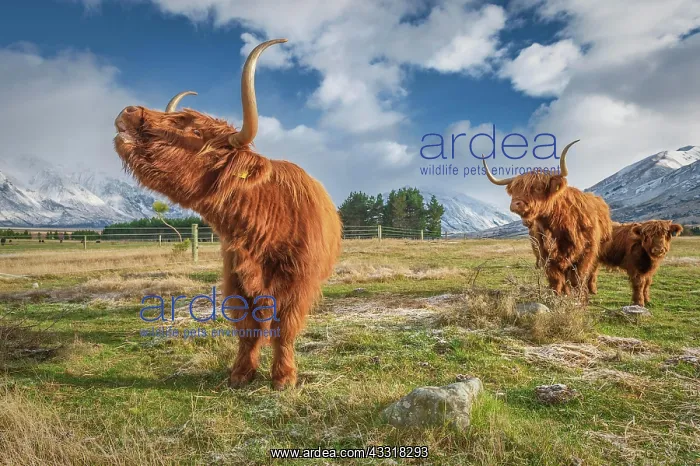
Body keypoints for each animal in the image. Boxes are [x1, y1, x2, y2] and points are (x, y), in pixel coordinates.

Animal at [113, 39, 342, 390]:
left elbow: (284, 328)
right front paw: (241, 373)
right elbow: (248, 327)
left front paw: (283, 377)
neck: (266, 223)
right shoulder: (236, 279)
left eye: (193, 129)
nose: (128, 111)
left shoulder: (298, 283)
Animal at [482, 140, 613, 296]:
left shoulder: (587, 251)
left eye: (538, 188)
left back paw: (592, 289)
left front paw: (578, 296)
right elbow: (555, 278)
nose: (515, 204)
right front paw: (557, 295)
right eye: (514, 190)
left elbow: (578, 277)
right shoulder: (545, 252)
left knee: (593, 271)